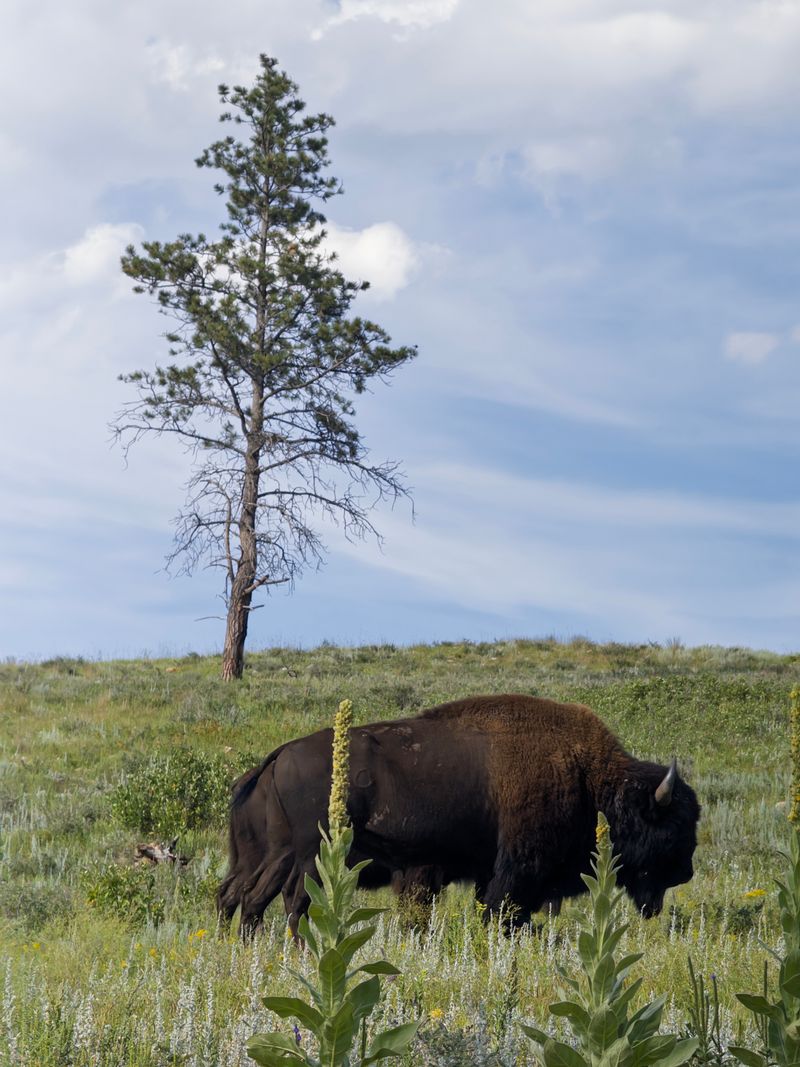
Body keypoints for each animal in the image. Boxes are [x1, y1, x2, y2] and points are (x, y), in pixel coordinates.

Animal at [218, 694, 700, 935]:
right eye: (674, 823)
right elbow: (503, 911)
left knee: (243, 895)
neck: (589, 776)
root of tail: (279, 755)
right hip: (310, 855)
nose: (686, 872)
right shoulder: (516, 869)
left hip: (274, 854)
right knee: (289, 900)